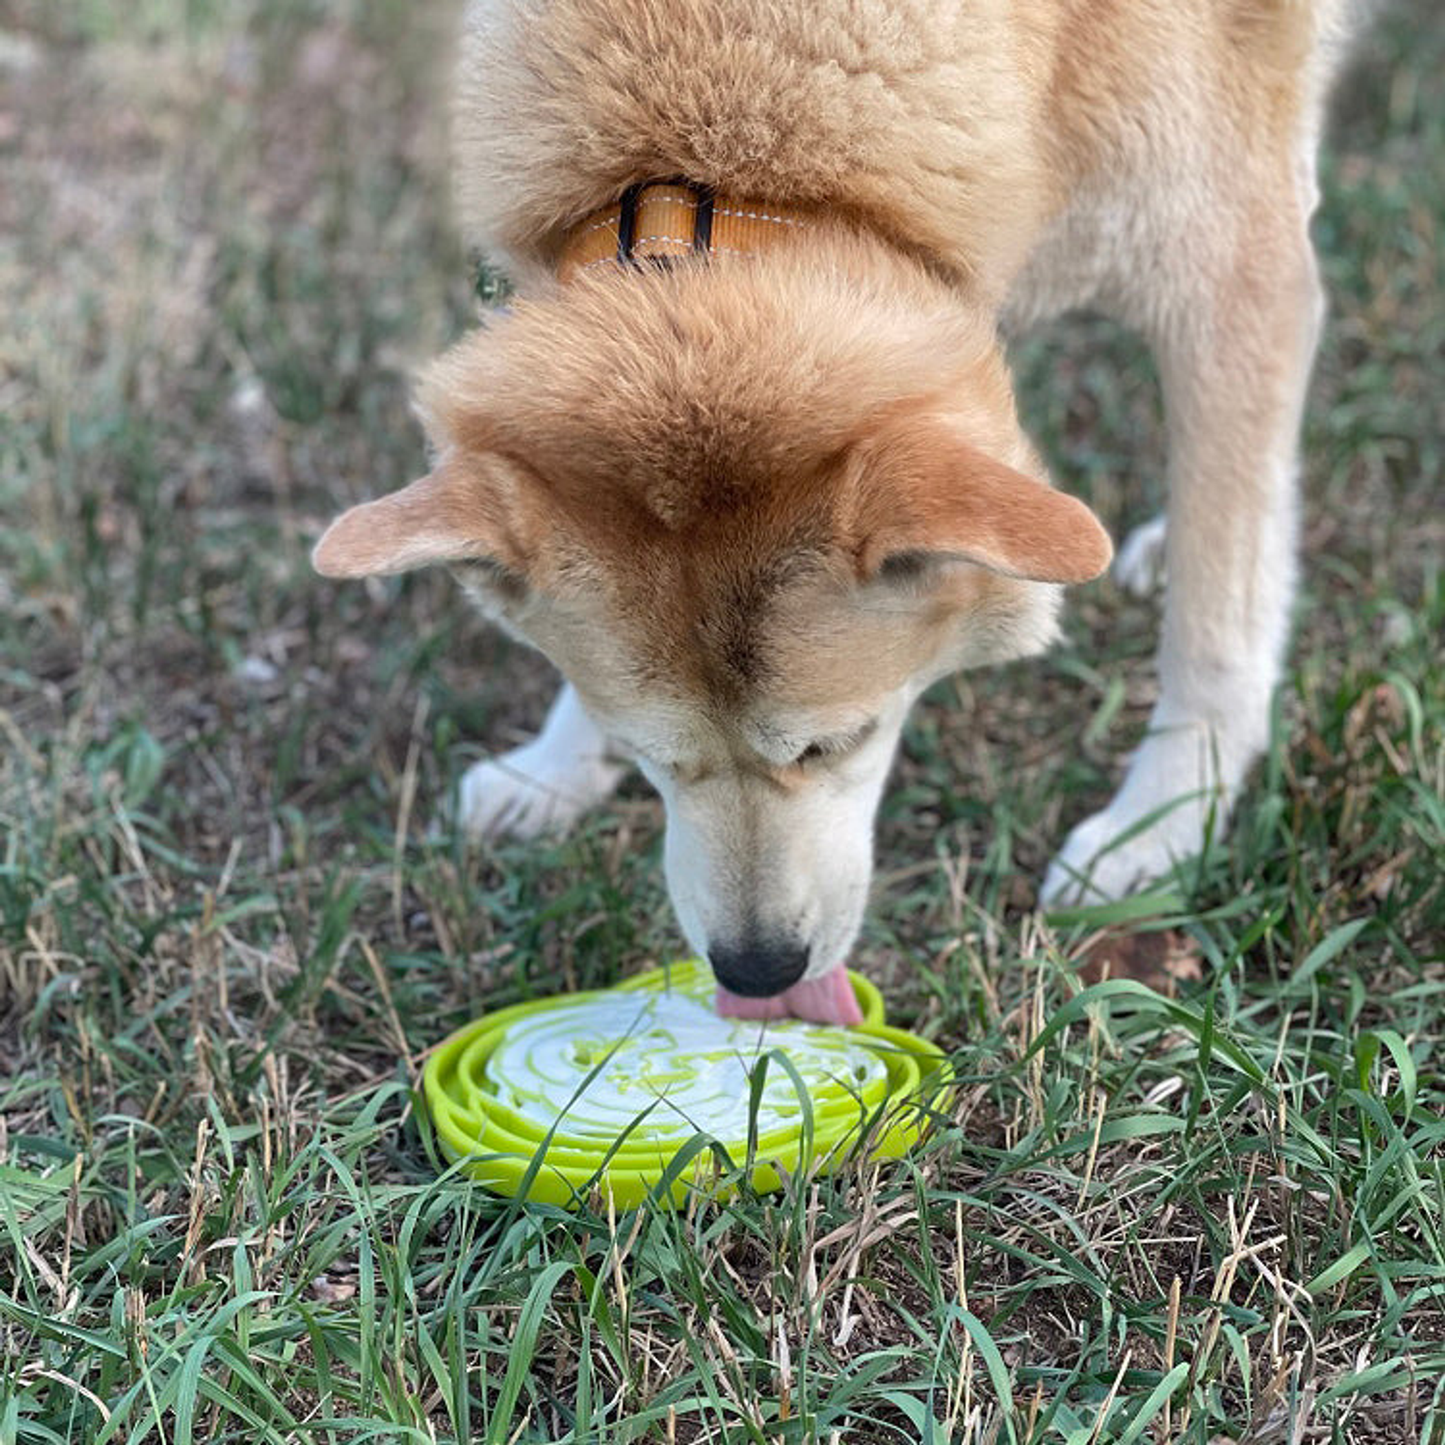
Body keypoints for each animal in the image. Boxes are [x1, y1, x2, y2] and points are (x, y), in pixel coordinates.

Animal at [313, 0, 1352, 1028]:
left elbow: (1218, 619)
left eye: (837, 743)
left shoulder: (1235, 277)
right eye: (654, 758)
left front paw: (1166, 821)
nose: (758, 971)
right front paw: (554, 765)